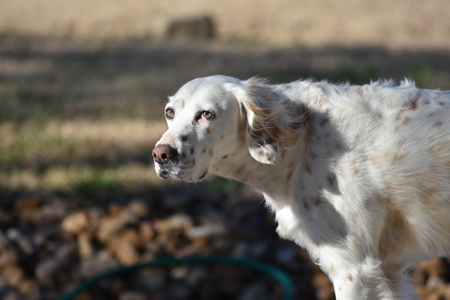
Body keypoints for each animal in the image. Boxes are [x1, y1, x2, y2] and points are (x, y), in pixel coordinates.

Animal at [152, 74, 450, 298]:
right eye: (170, 113)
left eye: (206, 114)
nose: (160, 155)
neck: (300, 141)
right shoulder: (389, 268)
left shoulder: (354, 268)